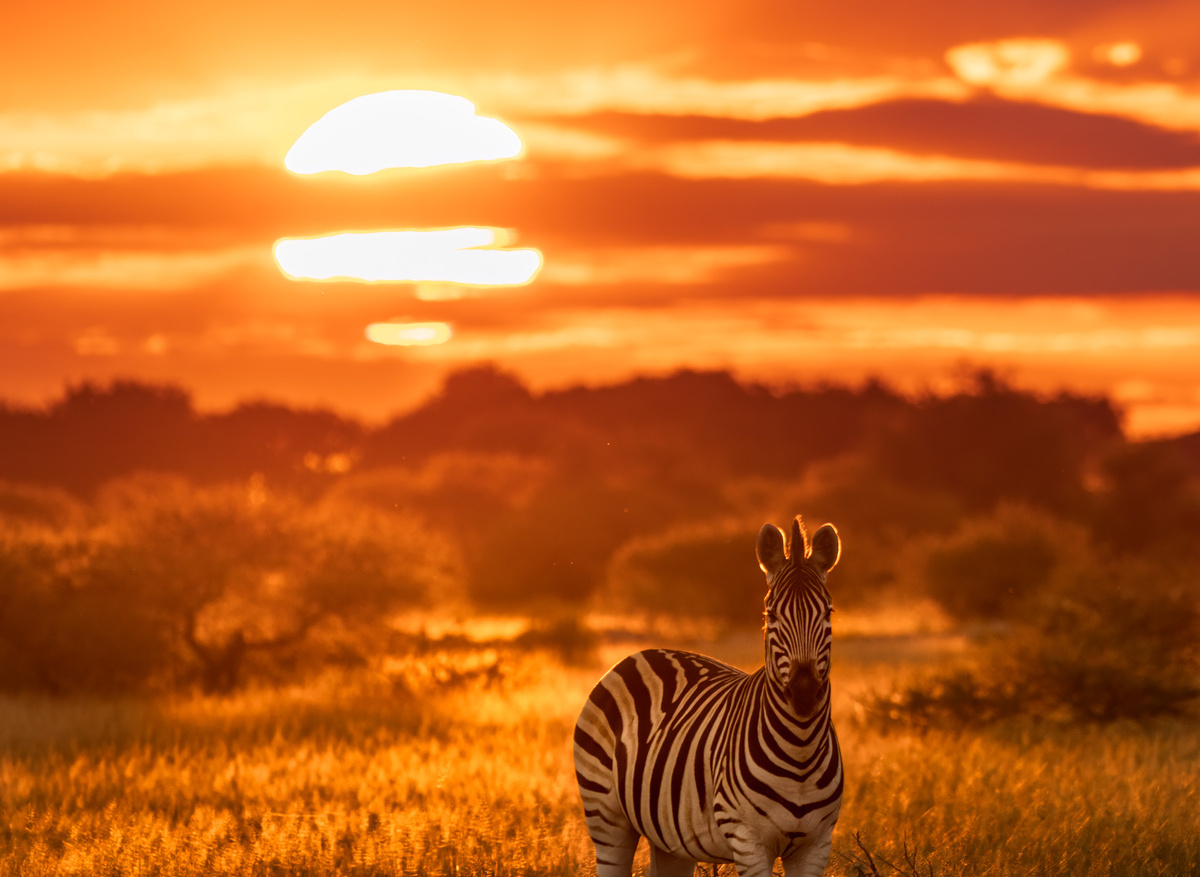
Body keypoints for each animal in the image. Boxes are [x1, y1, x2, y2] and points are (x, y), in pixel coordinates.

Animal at [574, 516, 843, 877]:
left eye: (828, 613)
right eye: (770, 615)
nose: (803, 694)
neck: (801, 752)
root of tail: (644, 652)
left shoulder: (816, 844)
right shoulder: (747, 840)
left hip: (670, 839)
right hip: (606, 816)